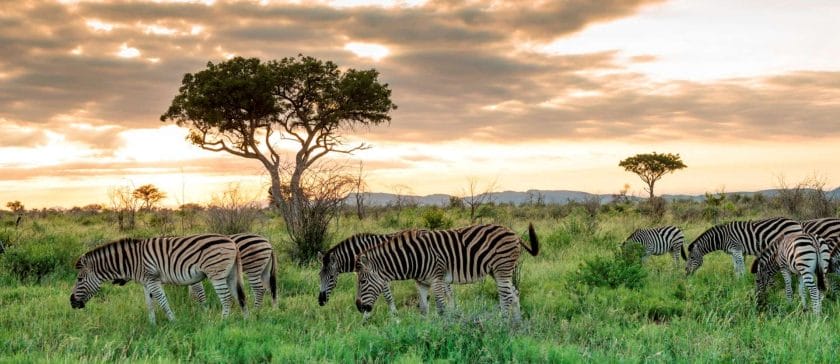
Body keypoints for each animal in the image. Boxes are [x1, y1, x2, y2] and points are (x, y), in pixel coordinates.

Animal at [71, 235, 246, 322]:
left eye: (79, 279)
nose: (72, 302)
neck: (131, 260)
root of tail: (232, 242)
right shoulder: (145, 283)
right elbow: (149, 304)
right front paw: (152, 326)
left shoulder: (152, 279)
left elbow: (162, 301)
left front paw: (173, 322)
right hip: (231, 274)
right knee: (240, 297)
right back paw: (246, 321)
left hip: (216, 274)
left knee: (227, 299)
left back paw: (222, 323)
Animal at [316, 233, 452, 316]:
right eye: (319, 276)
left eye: (331, 277)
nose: (321, 301)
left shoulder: (379, 276)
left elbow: (387, 296)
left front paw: (393, 315)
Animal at [352, 223, 540, 322]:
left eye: (362, 281)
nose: (359, 307)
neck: (413, 258)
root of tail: (514, 233)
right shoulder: (421, 282)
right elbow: (423, 308)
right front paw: (423, 330)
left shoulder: (437, 279)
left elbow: (441, 307)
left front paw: (444, 329)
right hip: (497, 271)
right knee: (514, 294)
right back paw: (517, 323)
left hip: (502, 269)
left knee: (506, 296)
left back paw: (502, 323)